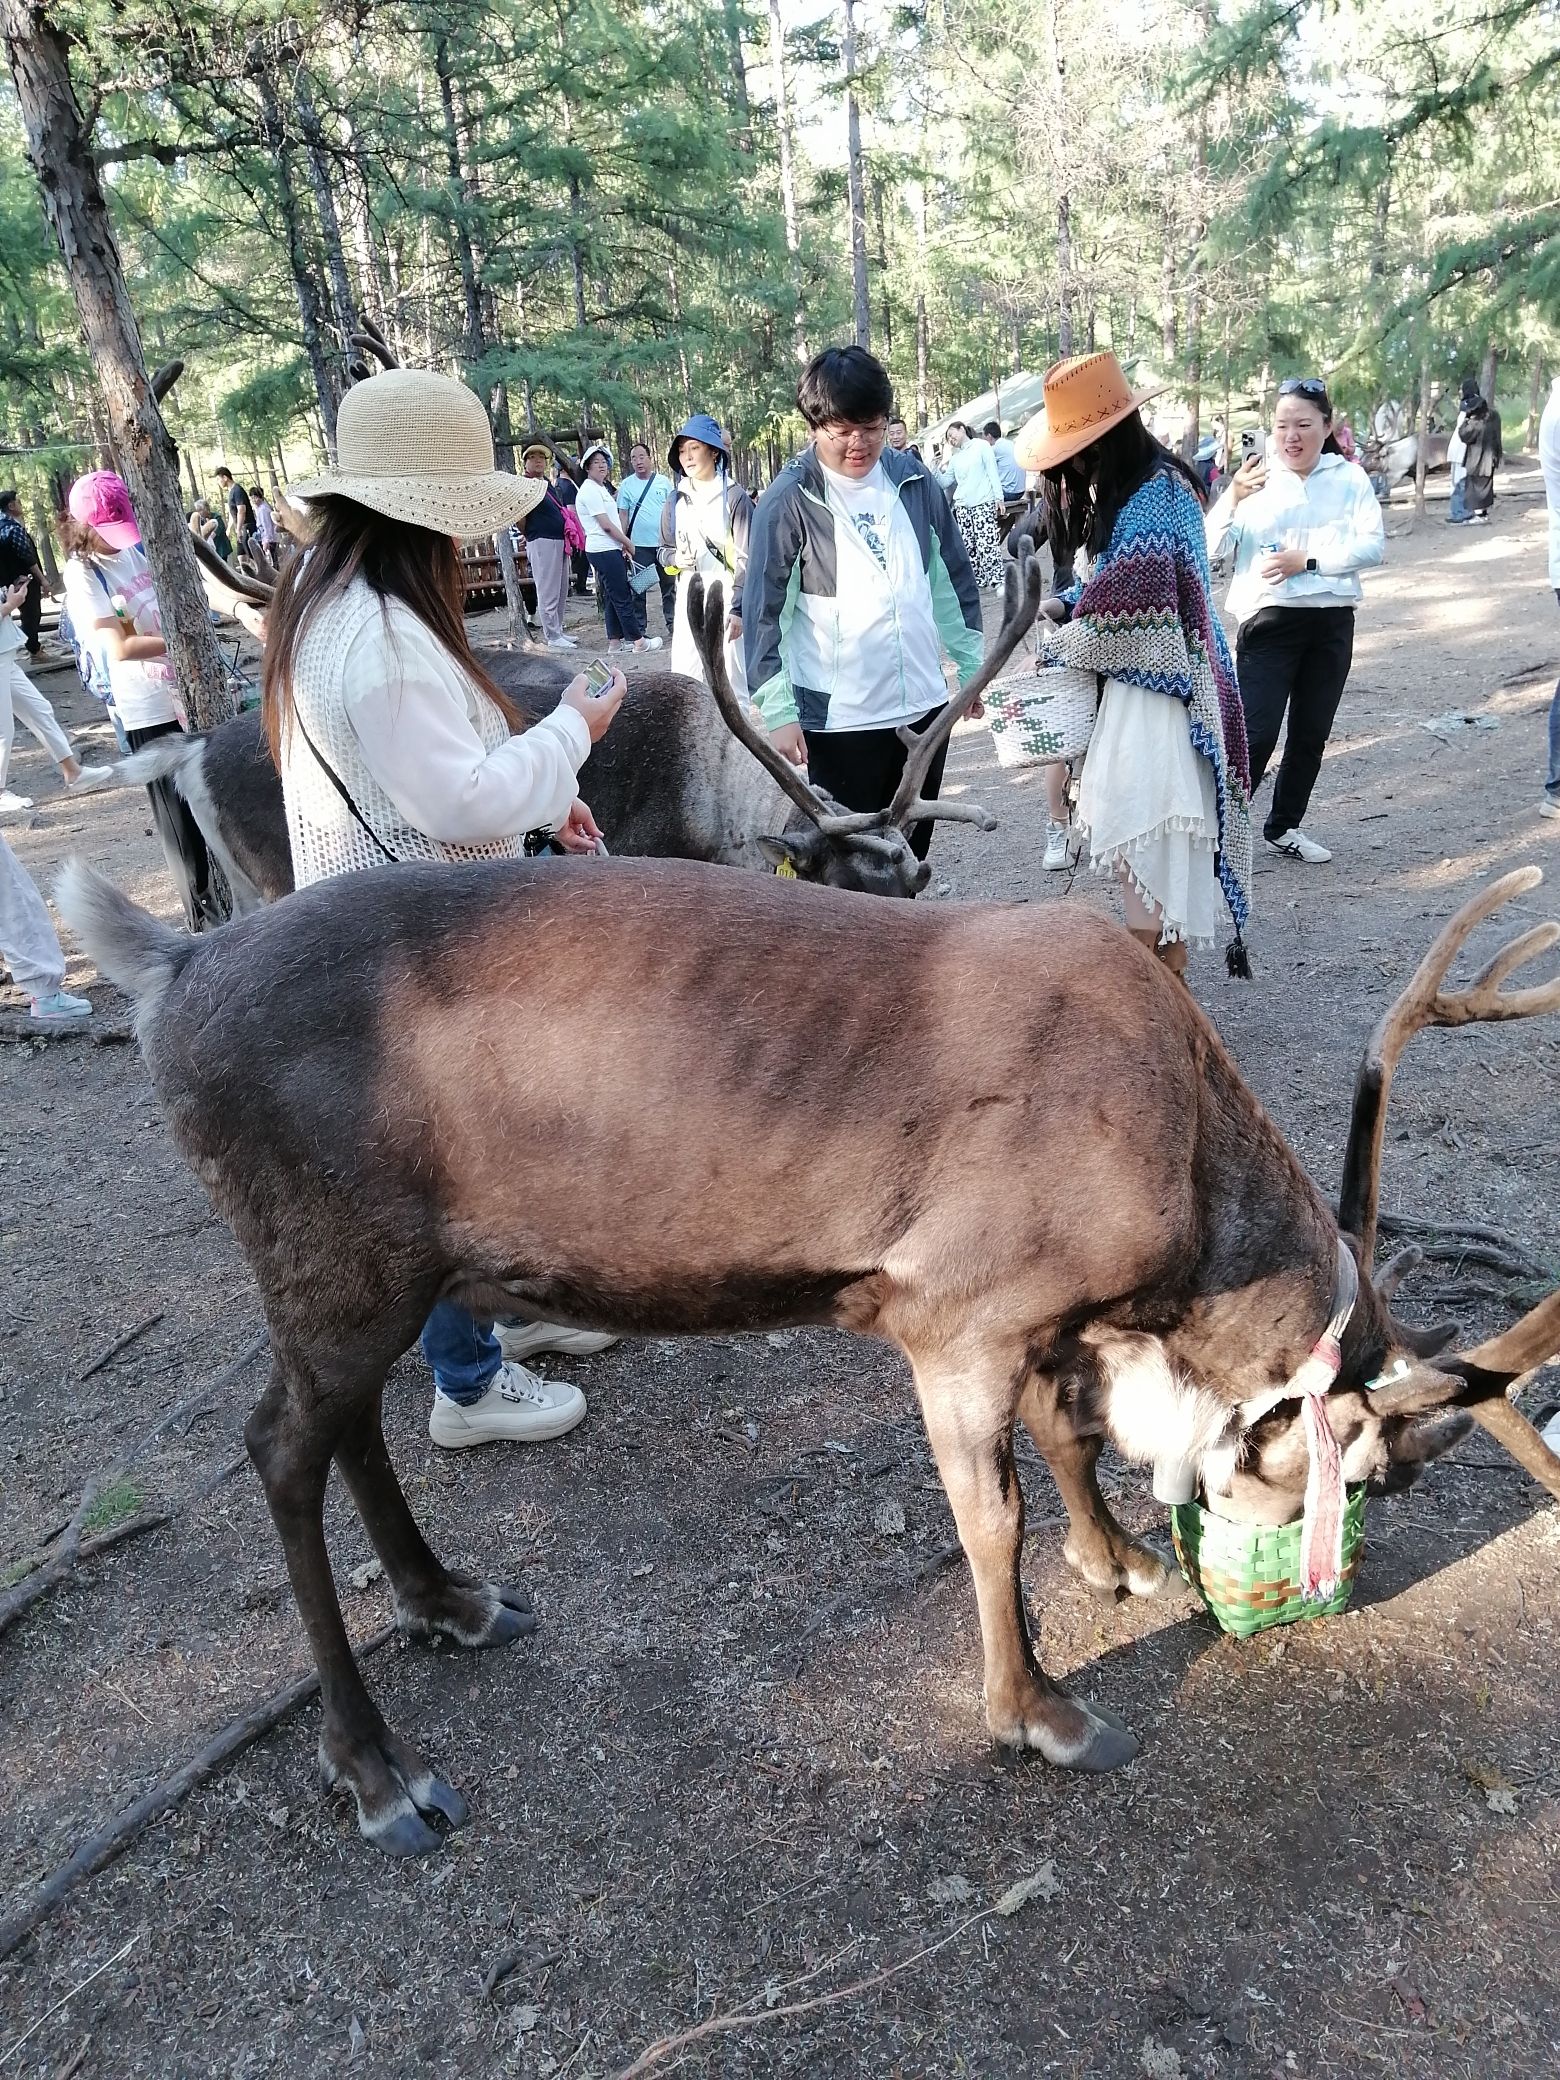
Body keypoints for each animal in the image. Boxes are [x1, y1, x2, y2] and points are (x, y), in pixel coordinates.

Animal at [56, 813, 1560, 1857]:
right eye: (1362, 1470)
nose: (1320, 1593)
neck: (1187, 1210)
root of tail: (172, 964)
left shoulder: (1034, 1320)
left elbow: (1067, 1431)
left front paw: (1118, 1556)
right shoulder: (958, 1316)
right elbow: (992, 1519)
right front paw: (1040, 1710)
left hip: (389, 1274)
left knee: (347, 1430)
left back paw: (451, 1601)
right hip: (331, 1261)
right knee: (278, 1448)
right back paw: (378, 1770)